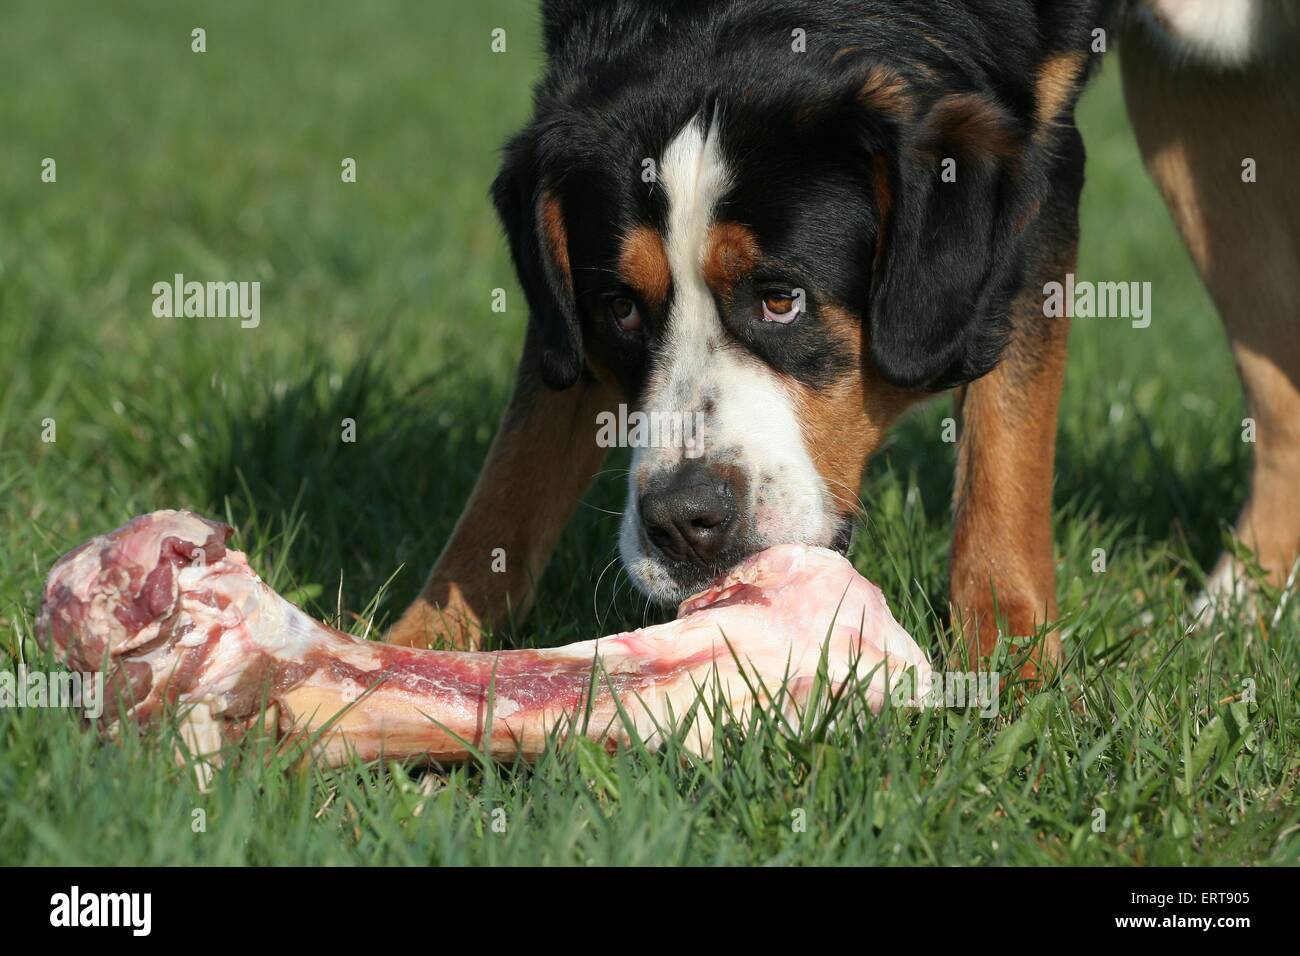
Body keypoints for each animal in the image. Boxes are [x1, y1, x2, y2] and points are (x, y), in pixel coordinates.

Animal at [384, 0, 1300, 681]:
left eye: (782, 299)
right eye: (620, 309)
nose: (685, 522)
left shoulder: (1039, 176)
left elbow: (1004, 457)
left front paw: (1015, 668)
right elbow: (512, 479)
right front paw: (409, 656)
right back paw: (1239, 614)